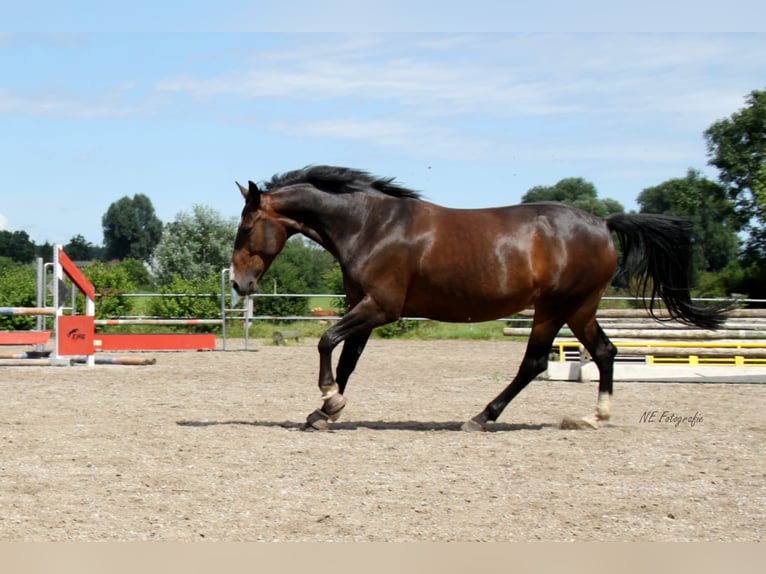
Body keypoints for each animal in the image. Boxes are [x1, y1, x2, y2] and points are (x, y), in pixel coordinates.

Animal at [229, 165, 726, 431]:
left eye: (247, 228)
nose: (238, 284)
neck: (372, 226)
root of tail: (603, 223)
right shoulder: (364, 307)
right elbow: (347, 358)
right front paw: (324, 411)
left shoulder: (381, 308)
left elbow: (326, 341)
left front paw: (329, 400)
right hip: (579, 308)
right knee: (604, 351)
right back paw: (594, 417)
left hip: (555, 307)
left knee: (535, 363)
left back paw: (483, 417)